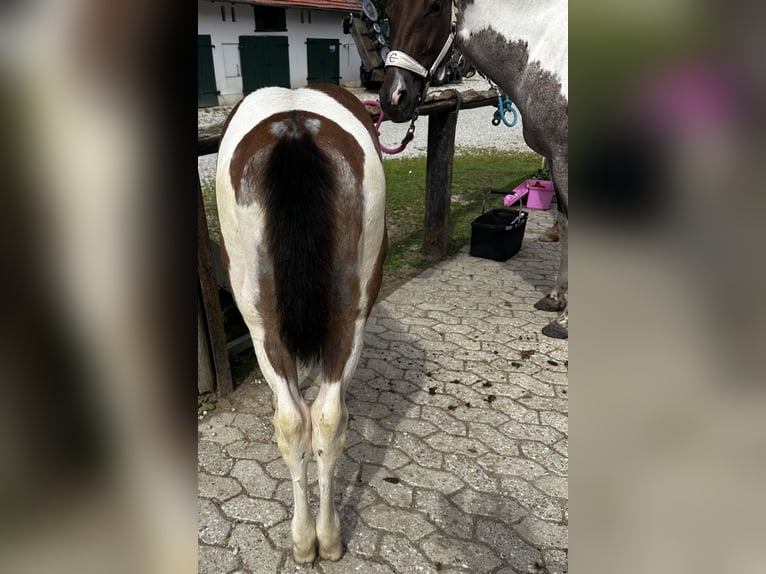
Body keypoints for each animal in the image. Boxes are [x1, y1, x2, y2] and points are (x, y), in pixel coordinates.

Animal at [216, 83, 388, 564]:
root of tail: (295, 131)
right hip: (347, 319)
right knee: (321, 420)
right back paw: (324, 539)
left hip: (264, 326)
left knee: (296, 420)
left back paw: (305, 540)